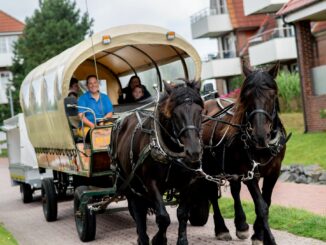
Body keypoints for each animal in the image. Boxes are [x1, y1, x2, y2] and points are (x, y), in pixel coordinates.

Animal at [112, 79, 204, 244]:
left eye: (199, 111)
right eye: (175, 114)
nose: (193, 151)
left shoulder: (189, 182)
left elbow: (182, 213)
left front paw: (182, 240)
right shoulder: (151, 182)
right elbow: (163, 216)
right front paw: (158, 239)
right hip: (129, 181)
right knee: (137, 209)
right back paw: (142, 237)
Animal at [200, 63, 290, 245]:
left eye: (272, 95)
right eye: (247, 96)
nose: (260, 135)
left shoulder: (274, 172)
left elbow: (267, 201)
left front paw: (258, 233)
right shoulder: (250, 173)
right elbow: (261, 206)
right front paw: (267, 238)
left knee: (235, 190)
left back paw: (241, 225)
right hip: (209, 167)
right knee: (212, 194)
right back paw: (221, 229)